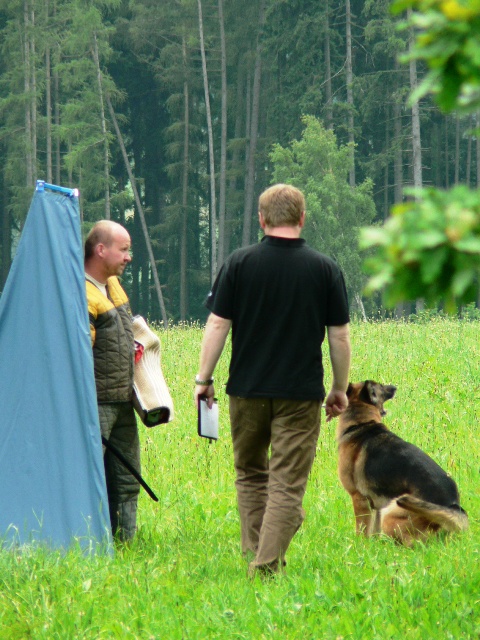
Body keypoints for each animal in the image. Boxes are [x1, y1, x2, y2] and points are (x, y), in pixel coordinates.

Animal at [336, 380, 466, 544]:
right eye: (382, 387)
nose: (394, 387)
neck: (362, 423)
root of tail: (452, 506)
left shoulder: (359, 499)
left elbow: (362, 531)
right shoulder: (376, 505)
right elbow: (374, 532)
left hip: (391, 511)